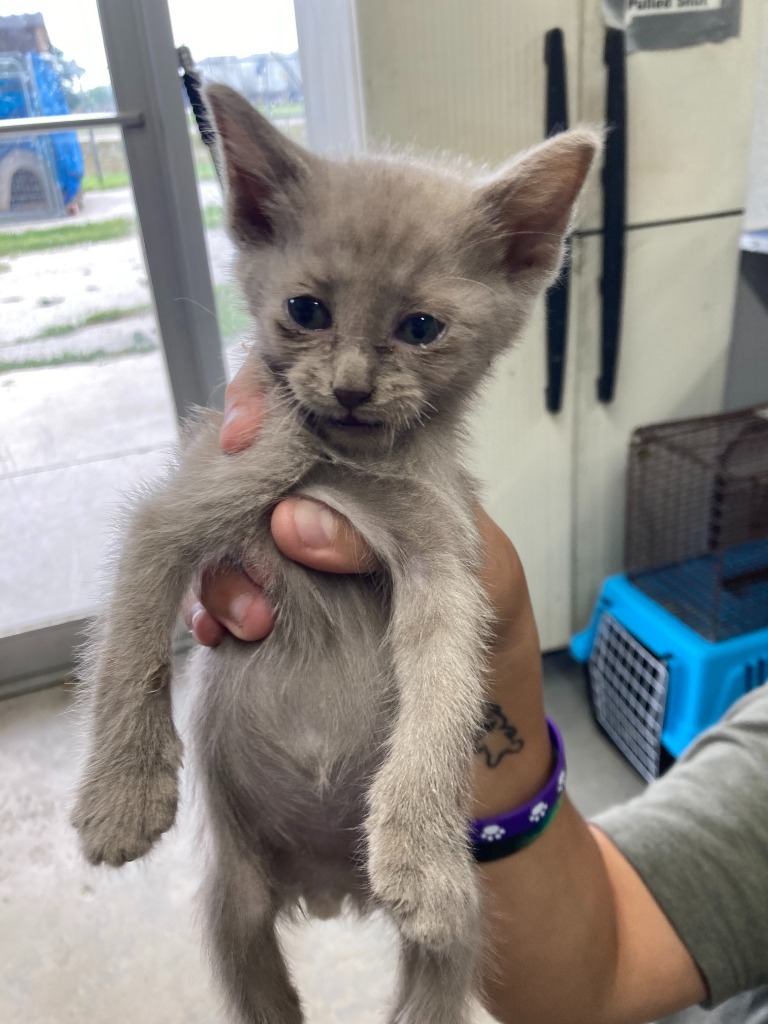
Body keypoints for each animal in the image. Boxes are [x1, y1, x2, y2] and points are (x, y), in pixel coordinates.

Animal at [72, 88, 602, 1024]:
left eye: (422, 328)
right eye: (306, 310)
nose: (352, 387)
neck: (344, 462)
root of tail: (326, 891)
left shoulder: (447, 565)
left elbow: (444, 697)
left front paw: (420, 850)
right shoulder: (190, 497)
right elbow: (130, 641)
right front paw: (122, 796)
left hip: (453, 945)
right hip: (232, 910)